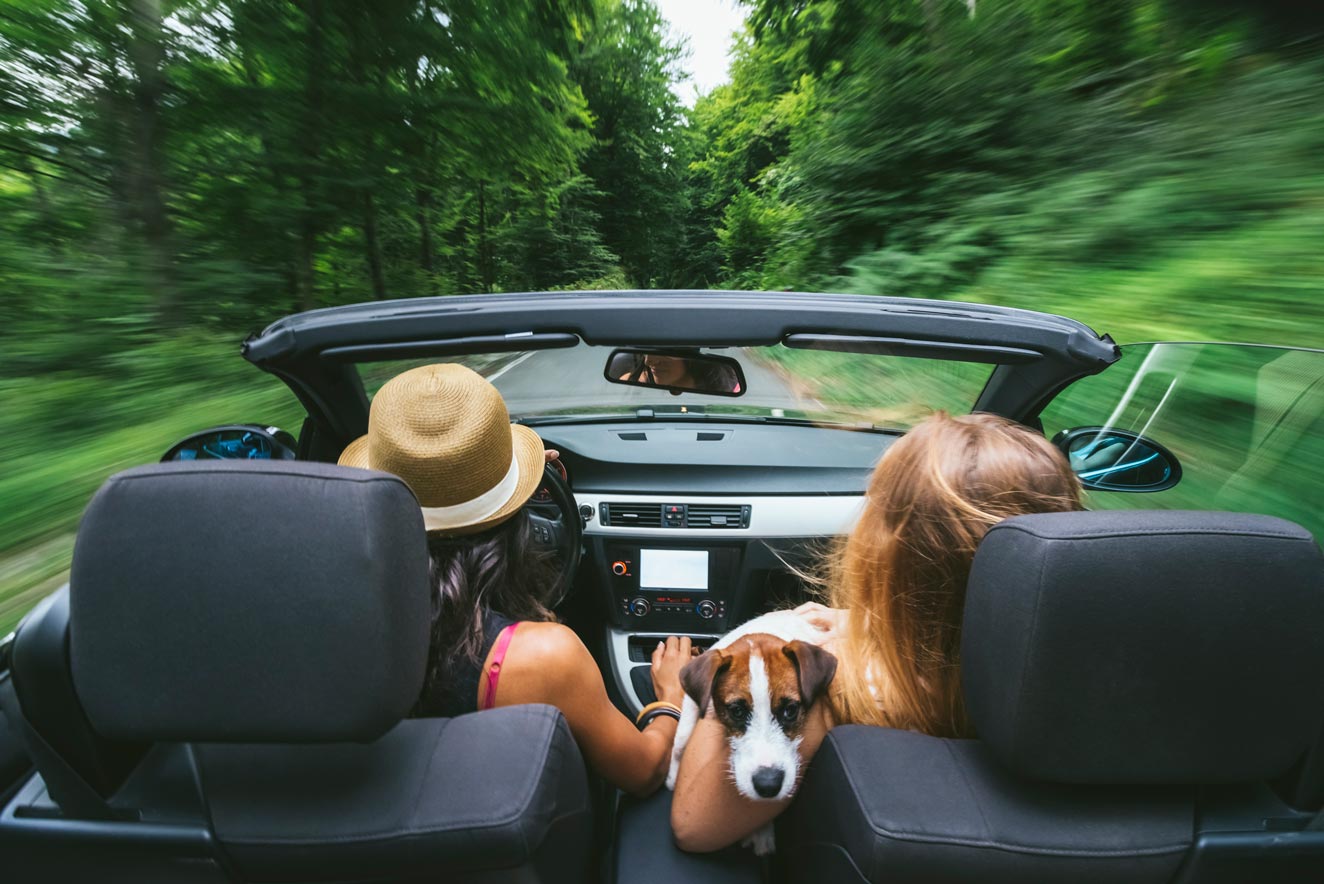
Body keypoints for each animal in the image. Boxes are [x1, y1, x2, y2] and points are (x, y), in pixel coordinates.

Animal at [662, 611, 836, 852]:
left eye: (790, 710)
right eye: (737, 711)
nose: (768, 785)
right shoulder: (693, 704)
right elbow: (681, 739)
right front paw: (672, 776)